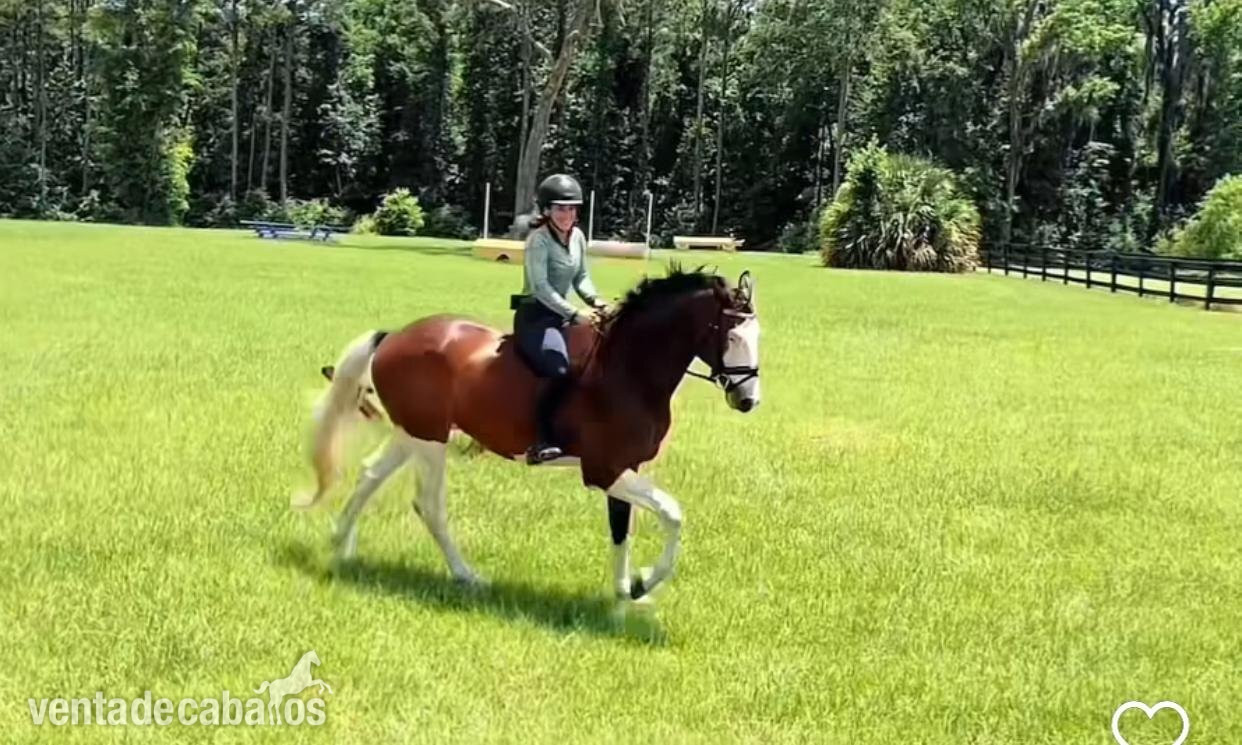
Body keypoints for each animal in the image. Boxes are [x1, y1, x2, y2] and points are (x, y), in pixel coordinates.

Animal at [295, 265, 761, 602]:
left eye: (758, 334)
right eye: (731, 334)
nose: (747, 399)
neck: (628, 370)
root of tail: (394, 337)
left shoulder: (627, 467)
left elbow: (621, 529)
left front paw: (624, 592)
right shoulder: (603, 469)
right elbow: (671, 512)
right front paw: (645, 582)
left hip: (415, 433)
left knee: (371, 474)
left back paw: (340, 544)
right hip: (430, 441)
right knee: (428, 504)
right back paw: (467, 576)